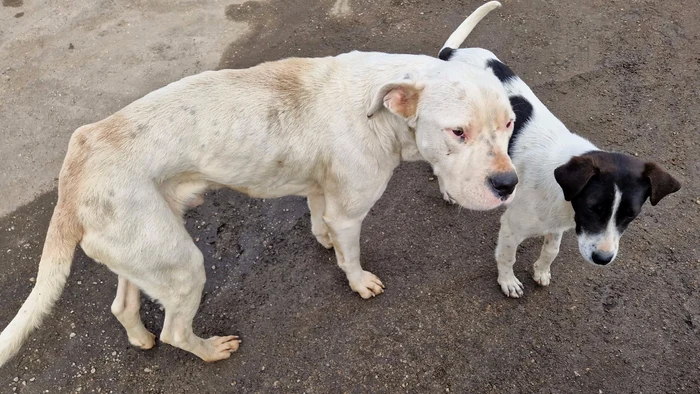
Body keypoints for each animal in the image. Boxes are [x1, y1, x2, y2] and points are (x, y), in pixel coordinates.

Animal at [0, 50, 516, 366]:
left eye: (511, 122)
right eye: (458, 132)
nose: (509, 183)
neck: (382, 105)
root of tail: (72, 175)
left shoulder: (321, 190)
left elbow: (319, 219)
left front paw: (324, 241)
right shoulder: (350, 213)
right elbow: (350, 255)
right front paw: (358, 281)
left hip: (146, 252)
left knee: (123, 305)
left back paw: (139, 338)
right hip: (183, 265)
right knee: (175, 332)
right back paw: (209, 350)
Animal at [438, 1, 680, 298]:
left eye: (630, 216)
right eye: (592, 208)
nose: (603, 259)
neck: (560, 194)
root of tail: (451, 54)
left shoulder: (556, 227)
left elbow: (550, 250)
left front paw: (541, 271)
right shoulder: (512, 227)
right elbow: (507, 257)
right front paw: (508, 281)